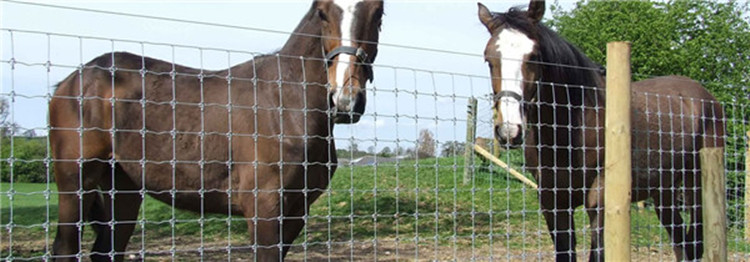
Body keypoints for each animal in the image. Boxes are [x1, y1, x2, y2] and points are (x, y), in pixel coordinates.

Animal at [48, 1, 382, 260]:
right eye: (322, 12)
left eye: (378, 13)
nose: (345, 100)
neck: (285, 104)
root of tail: (73, 80)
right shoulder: (264, 210)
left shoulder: (296, 212)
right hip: (76, 182)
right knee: (65, 248)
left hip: (123, 187)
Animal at [478, 1, 724, 260]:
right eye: (488, 59)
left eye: (534, 57)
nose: (509, 130)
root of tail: (707, 98)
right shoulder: (552, 201)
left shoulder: (600, 200)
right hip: (663, 192)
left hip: (695, 188)